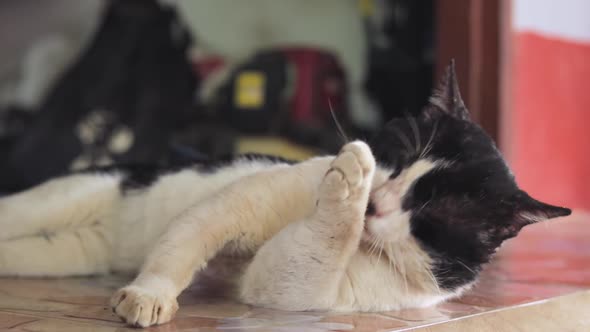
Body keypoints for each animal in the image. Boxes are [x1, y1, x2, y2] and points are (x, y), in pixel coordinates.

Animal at [0, 63, 572, 326]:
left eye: (432, 211)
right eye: (400, 153)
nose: (375, 201)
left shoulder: (301, 290)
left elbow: (298, 263)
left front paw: (348, 190)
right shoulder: (240, 202)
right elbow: (185, 242)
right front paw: (149, 295)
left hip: (57, 255)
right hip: (63, 200)